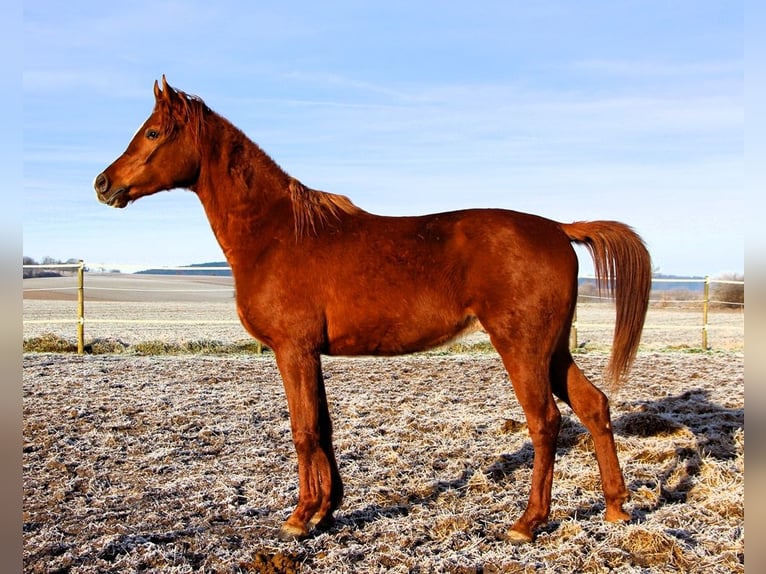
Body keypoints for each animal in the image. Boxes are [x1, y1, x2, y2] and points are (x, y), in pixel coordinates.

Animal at [93, 76, 652, 544]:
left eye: (153, 132)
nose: (102, 184)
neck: (277, 233)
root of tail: (557, 228)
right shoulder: (310, 354)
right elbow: (323, 426)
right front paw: (327, 510)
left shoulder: (293, 350)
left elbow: (304, 430)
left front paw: (300, 517)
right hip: (552, 350)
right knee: (594, 406)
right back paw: (615, 508)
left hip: (523, 348)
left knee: (546, 422)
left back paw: (527, 522)